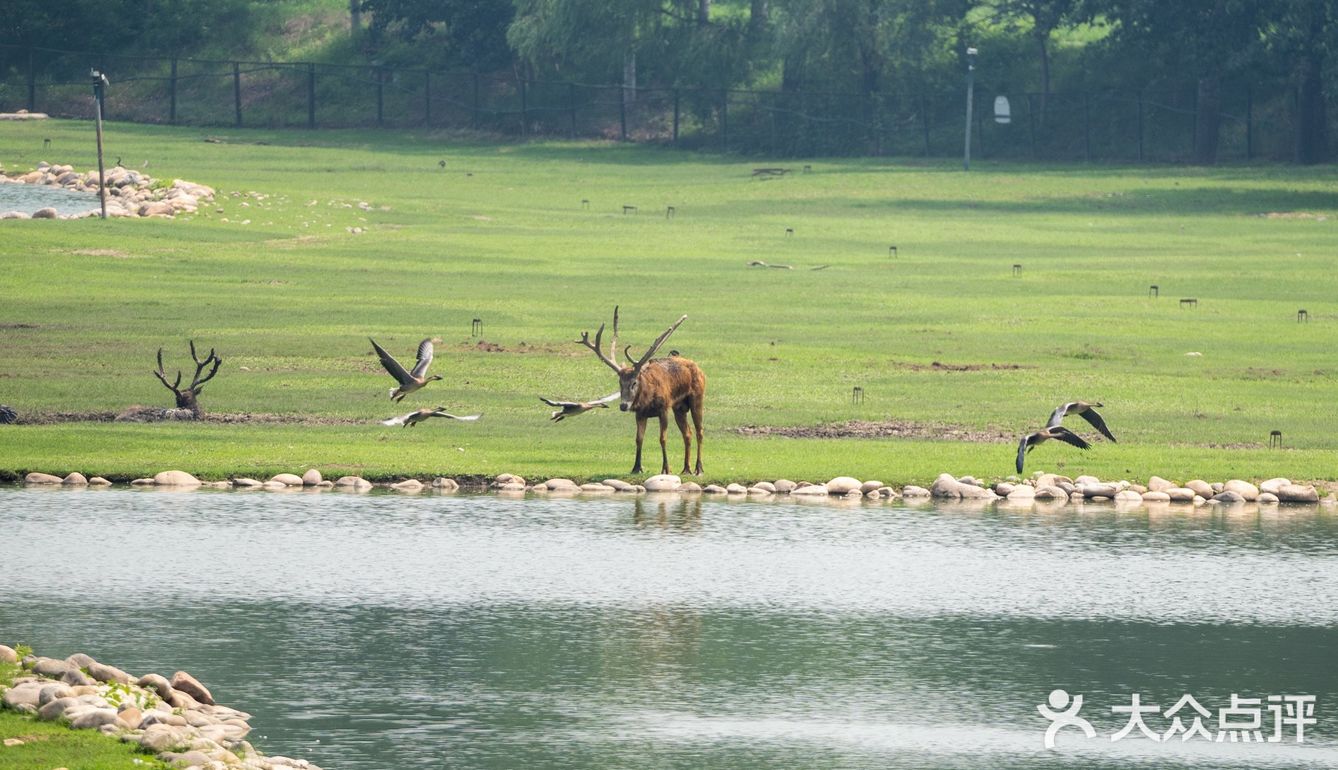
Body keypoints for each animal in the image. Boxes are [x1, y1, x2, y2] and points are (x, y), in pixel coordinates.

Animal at [578, 307, 706, 476]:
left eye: (634, 382)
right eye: (620, 383)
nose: (624, 405)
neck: (647, 399)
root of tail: (699, 369)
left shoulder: (664, 408)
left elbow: (662, 438)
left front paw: (666, 469)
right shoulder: (640, 414)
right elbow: (639, 439)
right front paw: (636, 468)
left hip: (697, 398)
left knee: (699, 431)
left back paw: (699, 468)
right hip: (679, 407)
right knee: (687, 433)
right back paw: (686, 469)